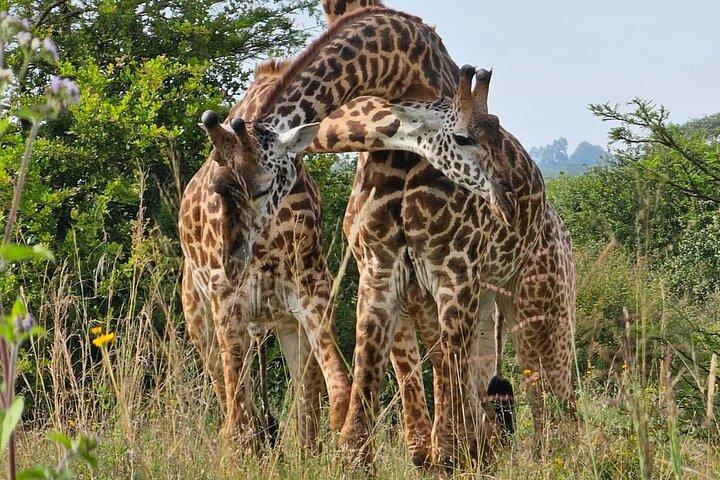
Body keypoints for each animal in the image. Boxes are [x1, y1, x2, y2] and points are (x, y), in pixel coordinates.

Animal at [198, 6, 575, 466]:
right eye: (218, 186)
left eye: (264, 186)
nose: (508, 200)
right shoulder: (381, 271)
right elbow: (365, 393)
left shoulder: (454, 271)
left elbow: (444, 390)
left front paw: (446, 455)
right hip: (491, 303)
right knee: (493, 386)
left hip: (542, 303)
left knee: (555, 397)